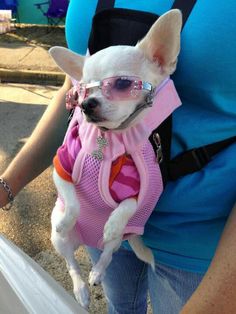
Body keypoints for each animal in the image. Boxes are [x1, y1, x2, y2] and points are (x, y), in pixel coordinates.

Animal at [48, 9, 182, 310]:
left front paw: (111, 222)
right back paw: (80, 289)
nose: (86, 104)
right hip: (60, 241)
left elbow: (128, 205)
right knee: (71, 262)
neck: (112, 139)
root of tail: (85, 239)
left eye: (121, 84)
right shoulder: (61, 169)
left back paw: (97, 271)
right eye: (83, 91)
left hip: (119, 241)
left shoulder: (142, 190)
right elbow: (73, 201)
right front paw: (68, 218)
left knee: (108, 252)